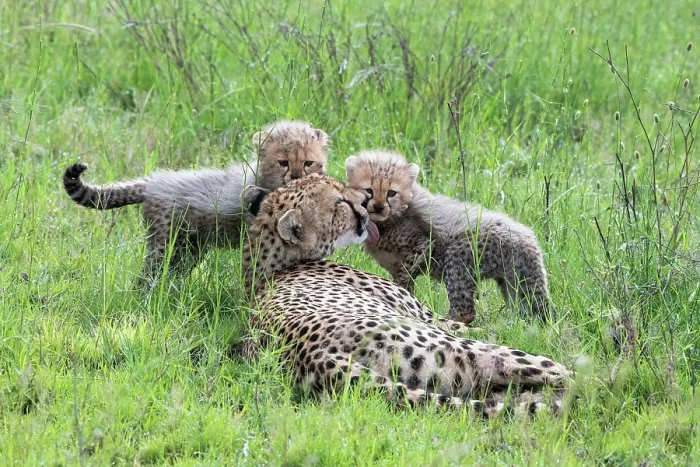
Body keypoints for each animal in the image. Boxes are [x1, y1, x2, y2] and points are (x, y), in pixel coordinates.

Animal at [63, 120, 330, 286]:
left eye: (308, 162)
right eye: (283, 162)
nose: (297, 176)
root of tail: (153, 181)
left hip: (190, 250)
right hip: (165, 244)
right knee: (148, 275)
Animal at [239, 173, 571, 418]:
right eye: (340, 201)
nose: (364, 203)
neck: (270, 267)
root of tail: (316, 358)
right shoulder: (434, 319)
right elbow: (488, 325)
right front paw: (541, 326)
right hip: (475, 353)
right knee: (566, 377)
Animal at [345, 150, 554, 325]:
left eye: (391, 193)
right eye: (369, 190)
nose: (379, 207)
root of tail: (526, 237)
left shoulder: (422, 246)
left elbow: (403, 281)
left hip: (459, 256)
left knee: (465, 312)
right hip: (513, 282)